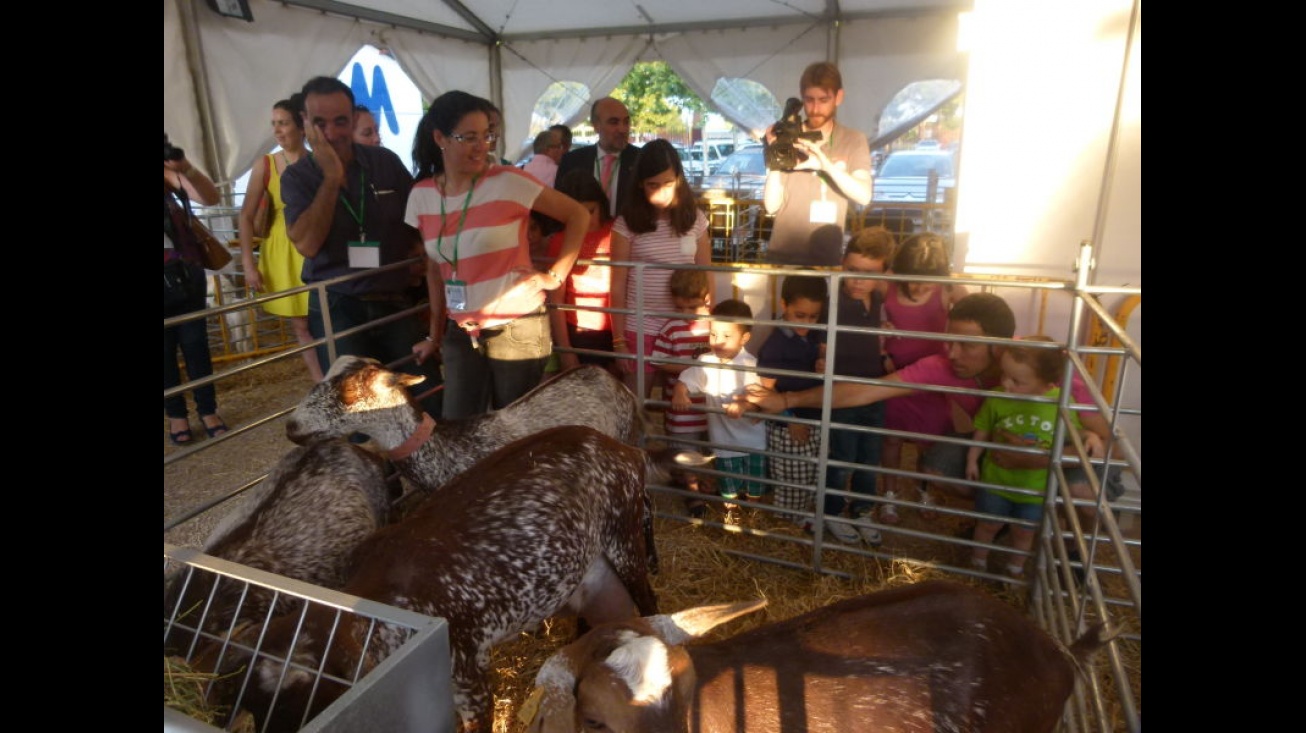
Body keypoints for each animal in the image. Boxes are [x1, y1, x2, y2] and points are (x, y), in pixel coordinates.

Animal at [203, 423, 663, 731]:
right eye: (250, 710)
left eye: (295, 706)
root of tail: (624, 449)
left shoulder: (470, 681)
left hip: (623, 539)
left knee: (648, 600)